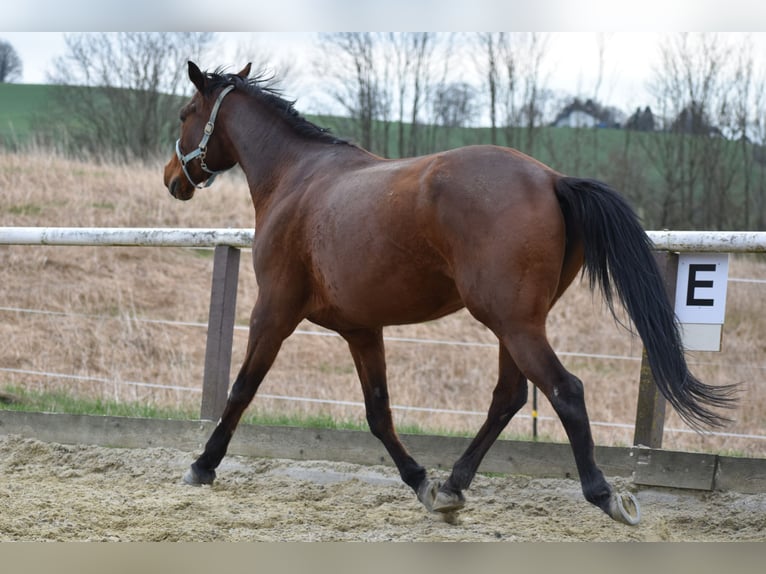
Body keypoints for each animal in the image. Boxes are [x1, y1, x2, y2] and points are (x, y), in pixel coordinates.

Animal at [163, 61, 735, 526]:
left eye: (185, 112)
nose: (173, 178)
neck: (296, 178)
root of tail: (552, 178)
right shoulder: (360, 329)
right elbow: (379, 412)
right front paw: (421, 482)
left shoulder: (274, 311)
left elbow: (241, 390)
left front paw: (201, 466)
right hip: (516, 323)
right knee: (509, 397)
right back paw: (453, 485)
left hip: (512, 322)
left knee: (565, 390)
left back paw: (604, 495)